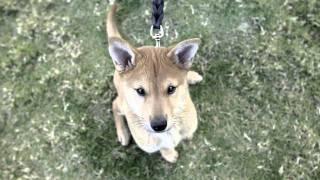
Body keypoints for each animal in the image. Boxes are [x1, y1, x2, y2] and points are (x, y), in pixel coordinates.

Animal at [107, 4, 202, 162]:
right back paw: (122, 133)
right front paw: (169, 154)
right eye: (140, 90)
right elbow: (164, 147)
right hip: (123, 104)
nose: (159, 125)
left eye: (171, 88)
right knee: (114, 104)